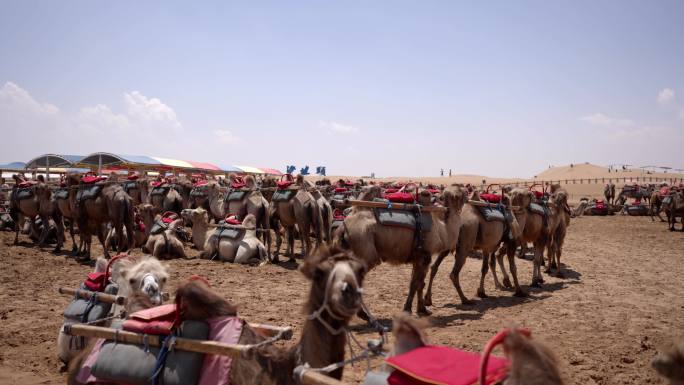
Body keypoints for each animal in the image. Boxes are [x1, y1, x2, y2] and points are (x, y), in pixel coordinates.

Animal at [336, 184, 464, 316]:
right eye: (462, 195)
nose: (468, 199)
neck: (442, 231)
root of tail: (343, 227)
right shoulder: (425, 256)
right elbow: (415, 284)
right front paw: (408, 309)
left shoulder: (418, 257)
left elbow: (419, 283)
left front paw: (422, 309)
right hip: (364, 244)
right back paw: (362, 313)